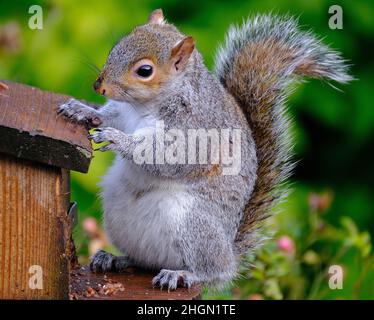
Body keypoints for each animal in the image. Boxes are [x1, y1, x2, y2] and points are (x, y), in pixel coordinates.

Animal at [57, 8, 350, 288]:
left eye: (144, 71)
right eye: (116, 47)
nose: (99, 86)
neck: (146, 104)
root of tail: (230, 250)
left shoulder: (196, 130)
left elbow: (168, 156)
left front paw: (118, 139)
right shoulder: (123, 112)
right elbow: (109, 115)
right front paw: (82, 110)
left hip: (194, 224)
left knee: (214, 272)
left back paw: (183, 274)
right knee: (144, 260)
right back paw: (115, 258)